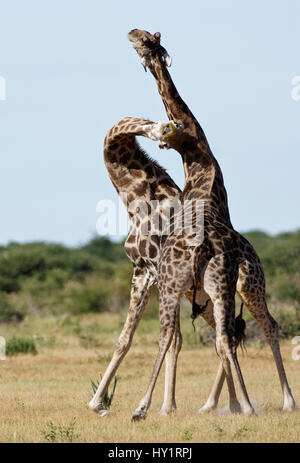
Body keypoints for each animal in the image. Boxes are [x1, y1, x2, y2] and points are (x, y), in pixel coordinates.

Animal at [126, 28, 296, 420]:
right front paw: (229, 404)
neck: (201, 164)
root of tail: (200, 247)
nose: (130, 33)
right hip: (212, 287)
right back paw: (234, 405)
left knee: (243, 330)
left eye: (145, 40)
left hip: (221, 286)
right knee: (222, 336)